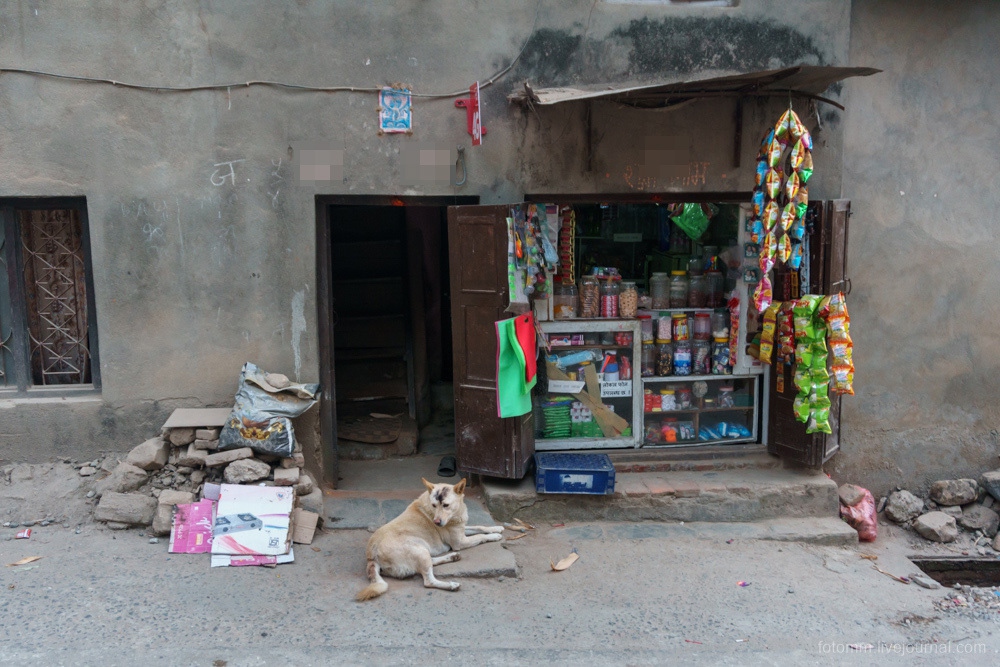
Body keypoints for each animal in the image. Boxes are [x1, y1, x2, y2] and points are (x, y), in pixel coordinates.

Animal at [356, 478, 504, 604]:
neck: (455, 514)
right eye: (434, 505)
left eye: (446, 505)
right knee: (428, 581)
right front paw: (495, 536)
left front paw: (496, 528)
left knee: (431, 562)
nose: (436, 522)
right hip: (419, 551)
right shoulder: (460, 542)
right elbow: (480, 537)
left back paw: (452, 557)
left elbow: (480, 527)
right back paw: (451, 584)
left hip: (422, 551)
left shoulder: (461, 530)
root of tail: (371, 556)